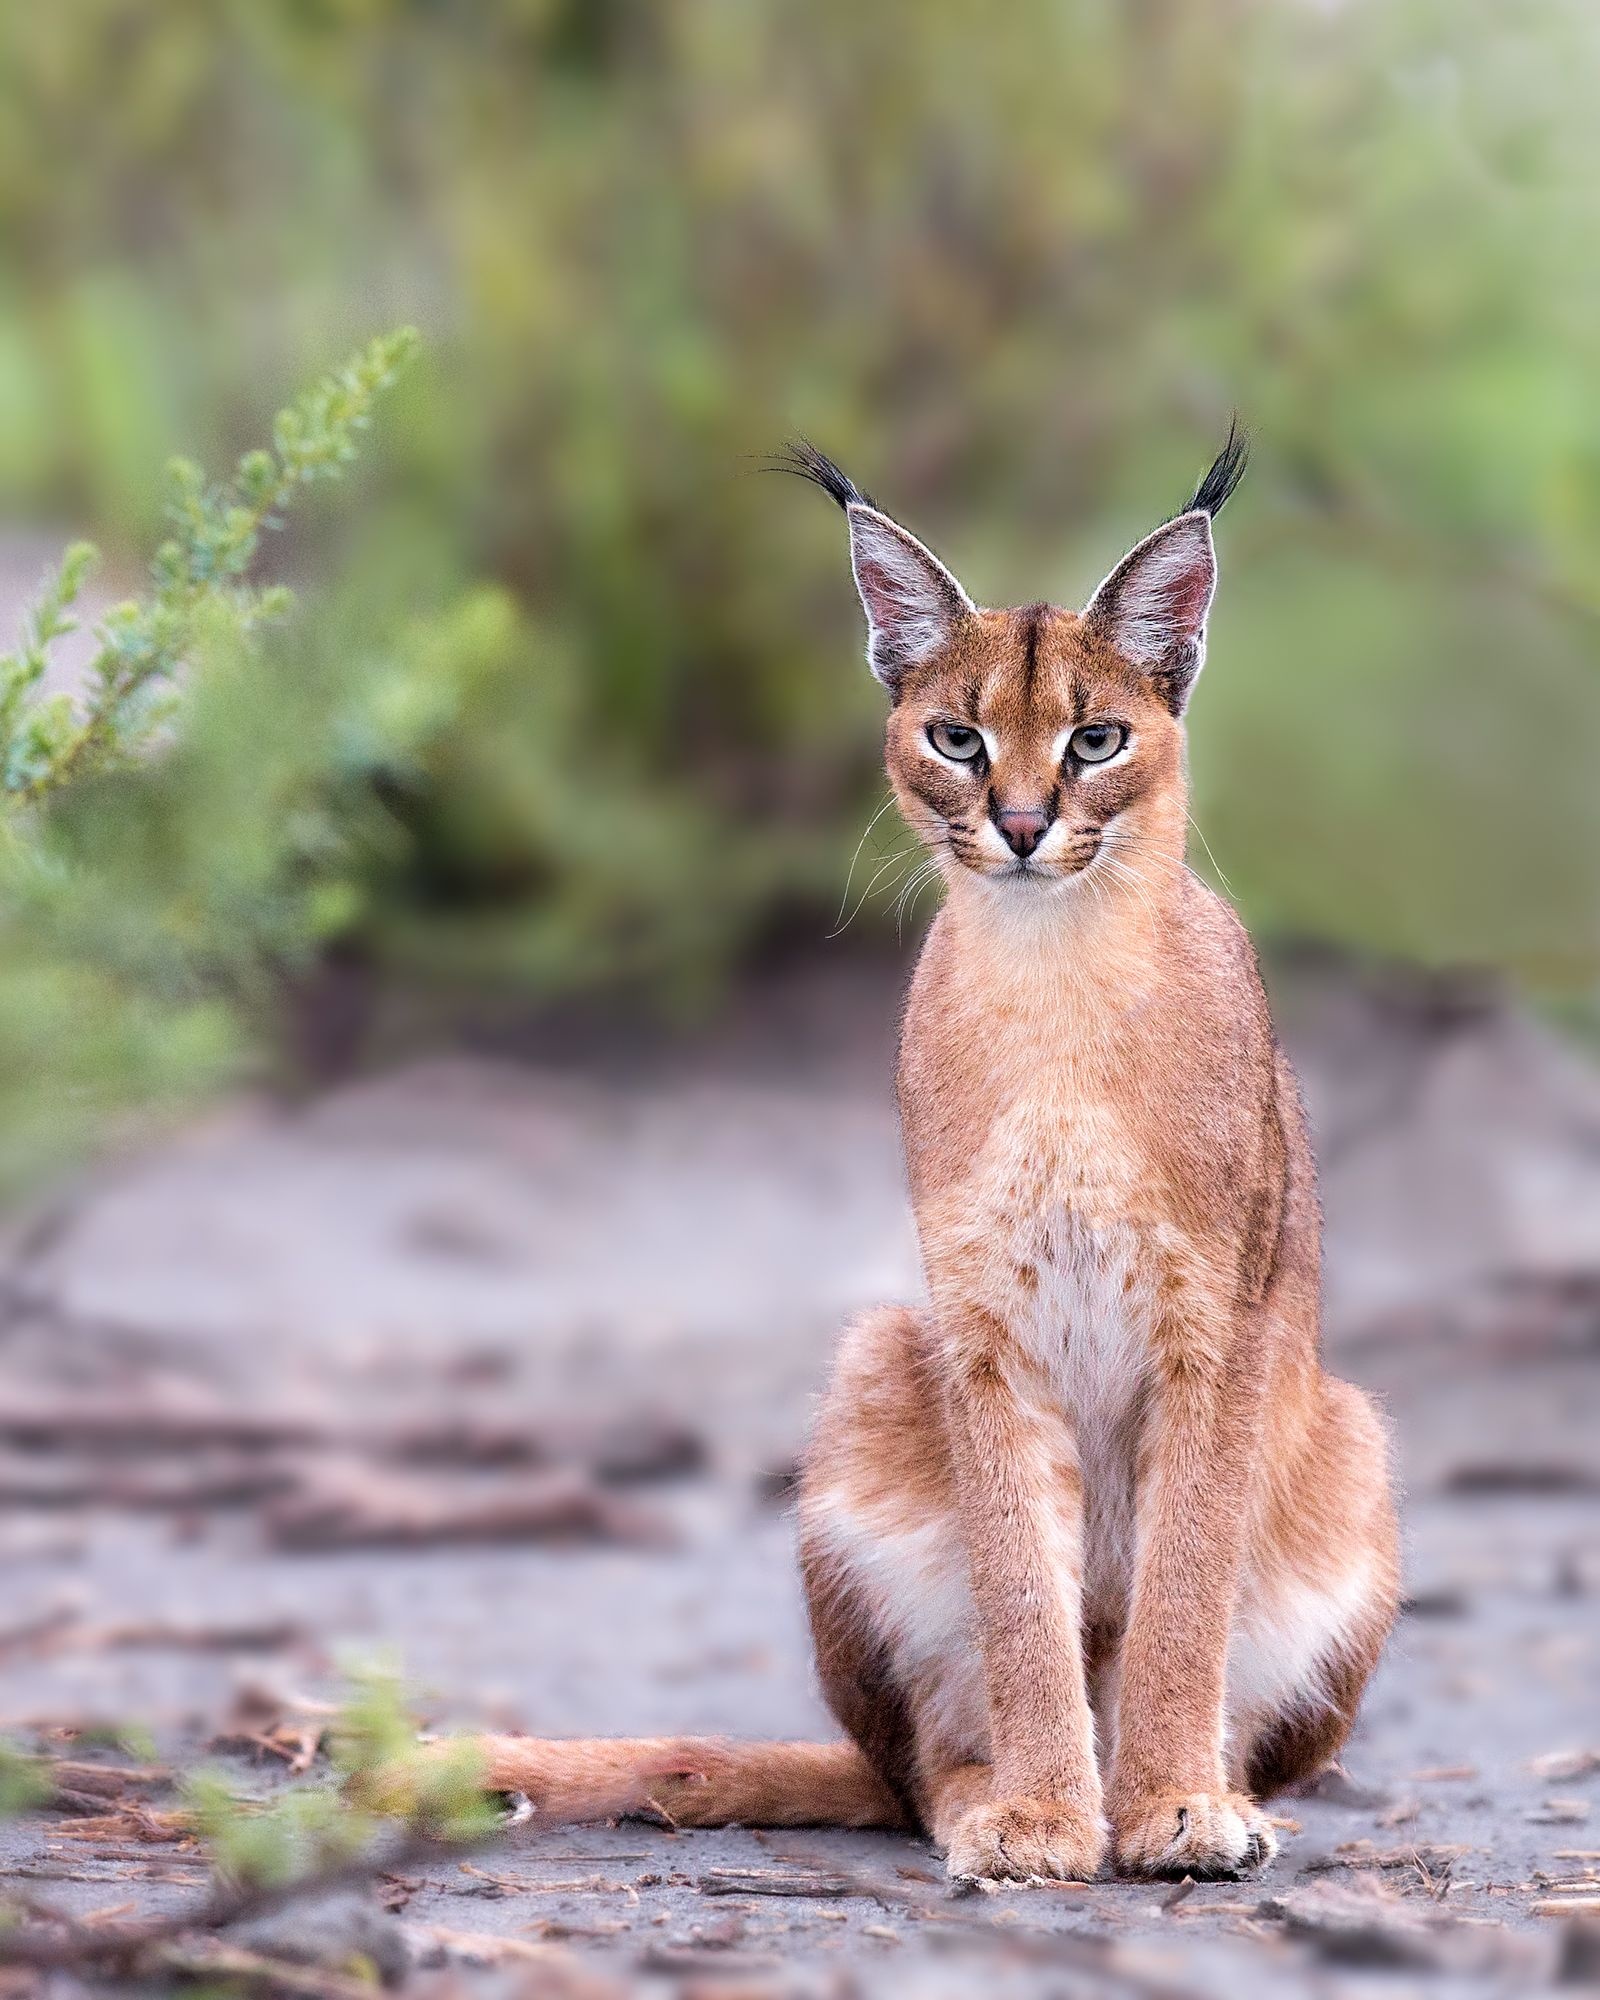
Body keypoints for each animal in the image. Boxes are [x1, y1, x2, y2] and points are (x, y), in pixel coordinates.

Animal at [456, 430, 1392, 1880]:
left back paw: (1201, 1794)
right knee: (907, 1766)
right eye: (958, 737)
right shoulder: (977, 1323)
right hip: (876, 1359)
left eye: (1096, 739)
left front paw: (1173, 1803)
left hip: (1349, 1437)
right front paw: (1045, 1813)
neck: (1056, 963)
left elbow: (1185, 1586)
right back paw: (991, 1798)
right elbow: (1016, 1584)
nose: (1018, 824)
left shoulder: (1214, 1325)